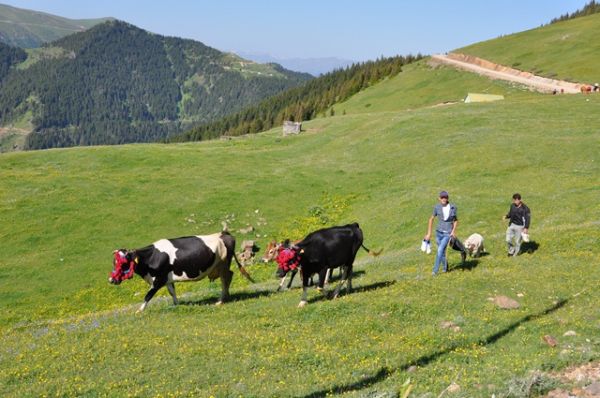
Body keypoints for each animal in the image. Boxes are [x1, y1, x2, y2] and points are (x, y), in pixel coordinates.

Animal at [110, 232, 253, 312]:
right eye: (114, 262)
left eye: (123, 263)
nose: (111, 280)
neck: (150, 258)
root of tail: (225, 235)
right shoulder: (167, 279)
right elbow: (172, 292)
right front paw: (177, 305)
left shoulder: (158, 280)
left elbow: (148, 296)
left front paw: (139, 311)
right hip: (220, 265)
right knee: (229, 276)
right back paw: (226, 297)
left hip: (223, 263)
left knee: (225, 279)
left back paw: (221, 300)